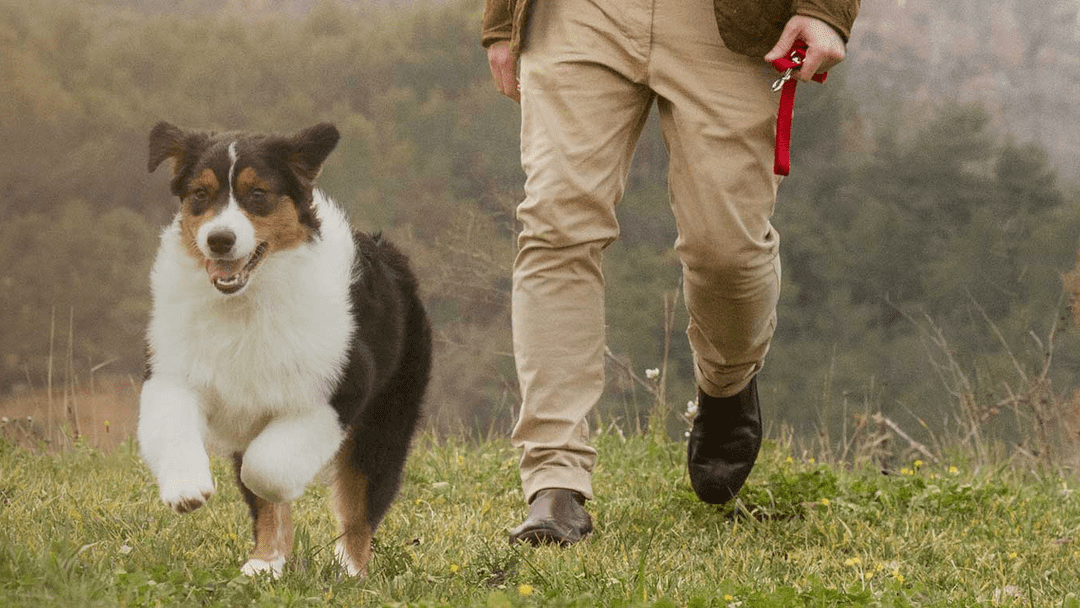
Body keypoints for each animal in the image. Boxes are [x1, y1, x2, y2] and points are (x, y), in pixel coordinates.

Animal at [138, 121, 429, 578]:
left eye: (258, 193)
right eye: (200, 194)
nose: (219, 240)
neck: (245, 301)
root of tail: (389, 253)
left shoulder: (339, 388)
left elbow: (265, 470)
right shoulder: (174, 373)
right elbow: (174, 426)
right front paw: (187, 490)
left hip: (386, 421)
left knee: (362, 506)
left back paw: (350, 571)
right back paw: (265, 563)